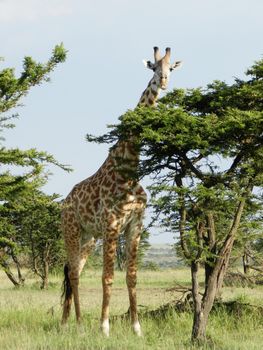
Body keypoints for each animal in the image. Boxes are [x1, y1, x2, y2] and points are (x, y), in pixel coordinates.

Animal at [60, 46, 183, 336]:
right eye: (154, 68)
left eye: (170, 69)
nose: (163, 81)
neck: (129, 167)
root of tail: (64, 203)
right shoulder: (112, 224)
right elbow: (108, 277)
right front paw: (104, 327)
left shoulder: (135, 224)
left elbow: (132, 276)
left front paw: (137, 328)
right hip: (72, 230)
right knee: (73, 273)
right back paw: (79, 324)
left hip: (89, 237)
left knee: (74, 269)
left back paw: (66, 322)